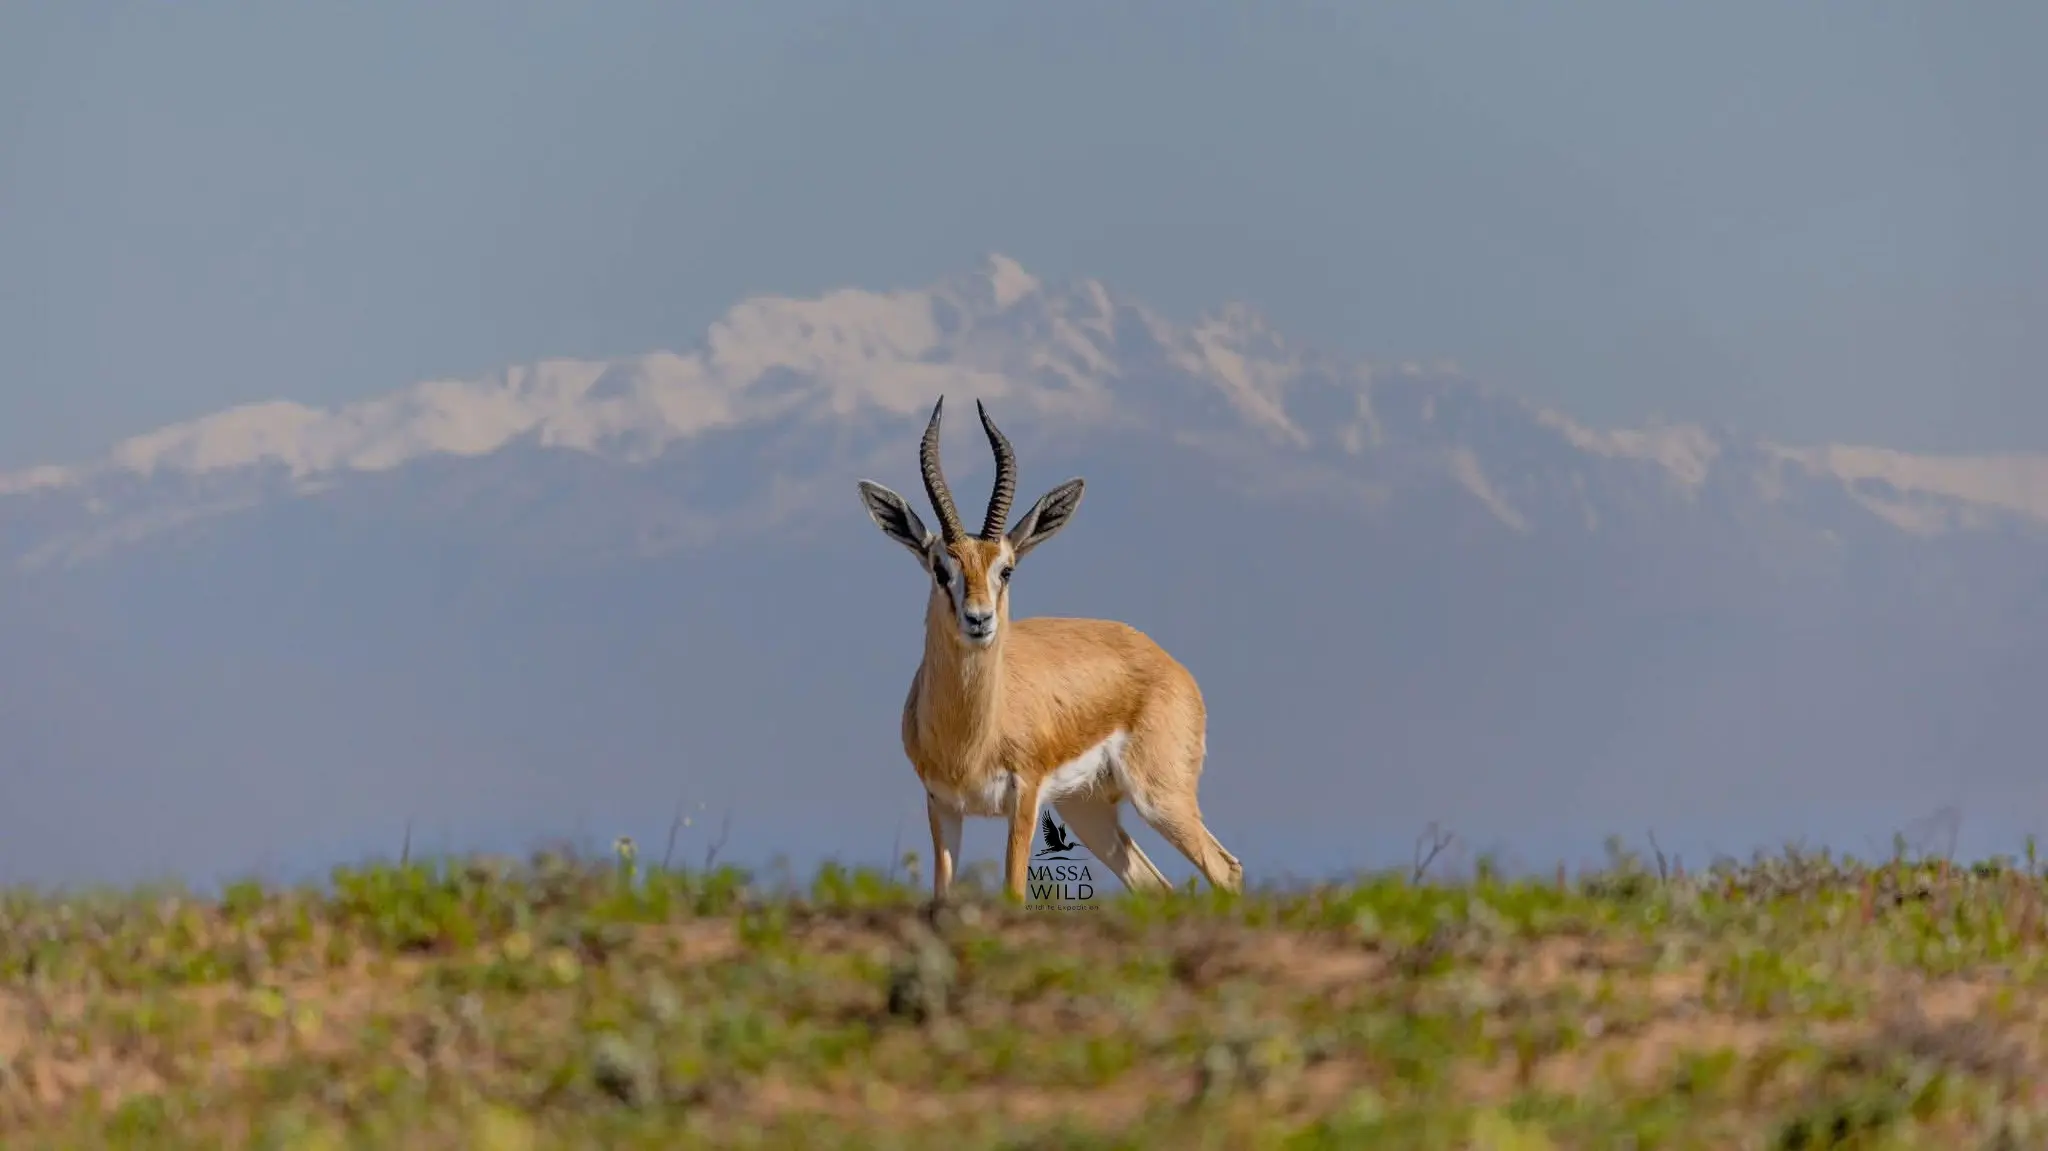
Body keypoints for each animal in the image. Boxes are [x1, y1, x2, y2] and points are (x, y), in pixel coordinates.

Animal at [855, 396, 1244, 905]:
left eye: (1006, 570)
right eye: (941, 570)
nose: (979, 619)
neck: (970, 741)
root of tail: (1170, 665)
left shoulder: (1025, 796)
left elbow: (1015, 893)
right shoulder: (942, 804)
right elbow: (942, 894)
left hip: (1161, 797)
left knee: (1225, 869)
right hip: (1087, 808)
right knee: (1155, 885)